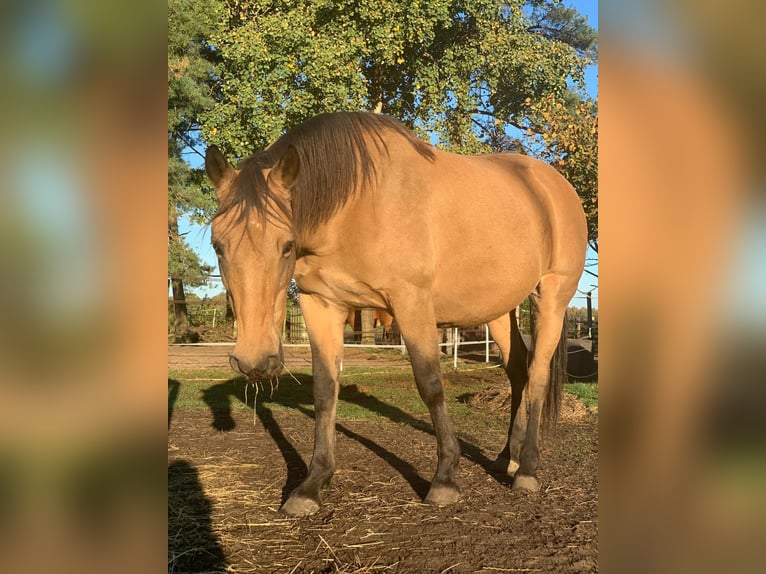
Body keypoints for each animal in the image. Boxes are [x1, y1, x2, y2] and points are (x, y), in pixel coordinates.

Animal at [206, 111, 588, 516]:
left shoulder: (411, 302)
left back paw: (527, 470)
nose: (254, 362)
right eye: (218, 245)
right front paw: (312, 484)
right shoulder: (321, 303)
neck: (354, 204)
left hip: (551, 298)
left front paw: (444, 479)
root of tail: (555, 186)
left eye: (286, 245)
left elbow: (431, 385)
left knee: (538, 375)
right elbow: (325, 390)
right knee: (518, 371)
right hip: (499, 309)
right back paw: (507, 457)